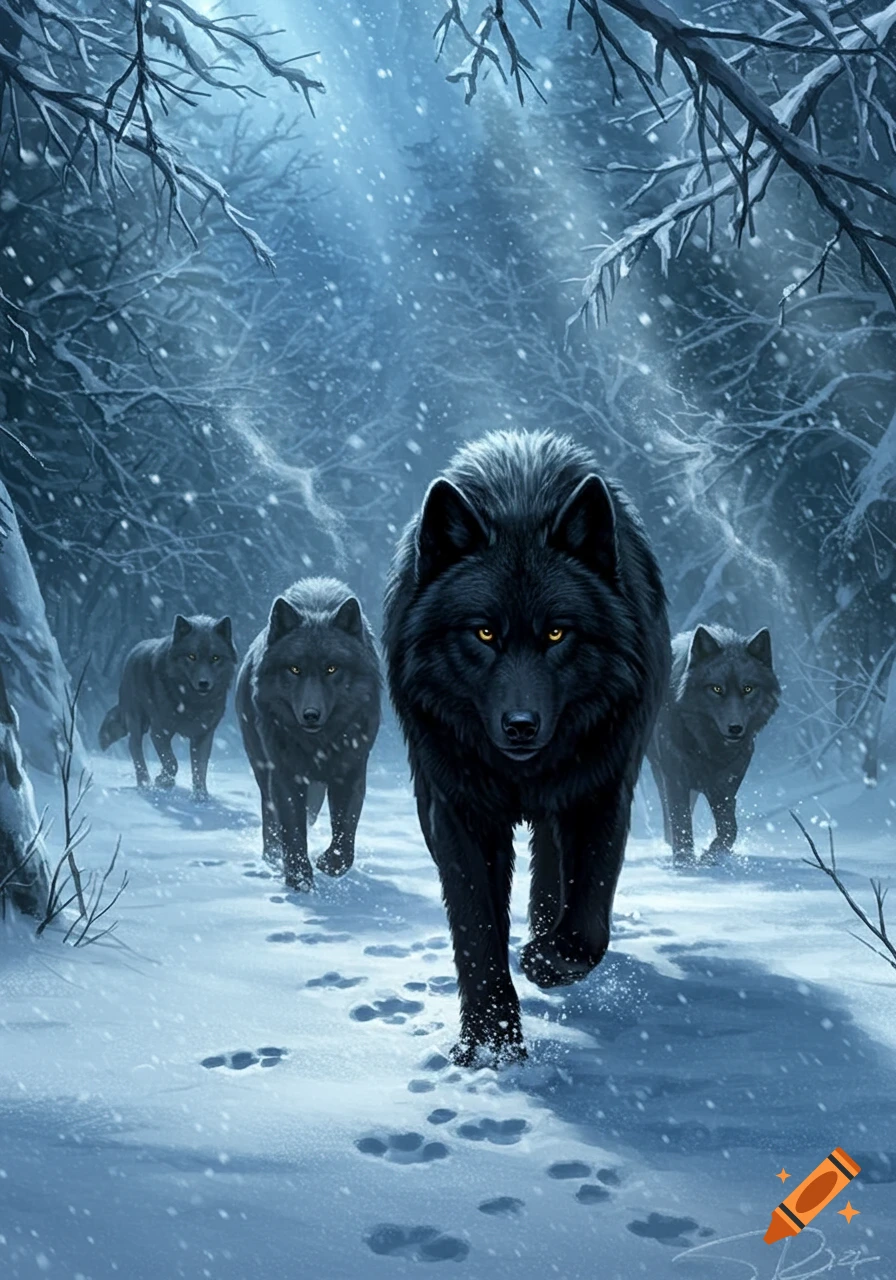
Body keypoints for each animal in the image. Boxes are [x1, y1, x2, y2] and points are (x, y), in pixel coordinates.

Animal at [99, 614, 237, 801]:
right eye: (191, 656)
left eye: (215, 658)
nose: (204, 683)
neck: (192, 704)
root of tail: (134, 650)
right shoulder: (159, 732)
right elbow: (172, 762)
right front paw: (163, 781)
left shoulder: (203, 735)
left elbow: (200, 769)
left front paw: (200, 796)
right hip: (137, 720)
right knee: (134, 746)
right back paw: (144, 784)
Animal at [235, 578, 381, 892]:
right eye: (294, 669)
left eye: (332, 668)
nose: (311, 714)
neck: (319, 745)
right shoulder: (285, 775)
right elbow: (292, 830)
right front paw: (299, 880)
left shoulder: (351, 771)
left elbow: (346, 829)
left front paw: (329, 864)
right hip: (261, 769)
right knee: (269, 817)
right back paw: (272, 858)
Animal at [383, 430, 670, 1066]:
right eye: (484, 632)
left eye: (558, 632)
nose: (520, 726)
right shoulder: (455, 809)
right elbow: (475, 929)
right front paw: (491, 1041)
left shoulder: (603, 790)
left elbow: (588, 917)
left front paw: (545, 960)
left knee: (556, 870)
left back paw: (541, 934)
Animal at [647, 625, 780, 866]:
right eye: (716, 689)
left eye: (748, 689)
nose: (735, 728)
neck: (708, 746)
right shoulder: (674, 776)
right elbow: (680, 820)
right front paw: (684, 862)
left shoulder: (726, 784)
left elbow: (730, 828)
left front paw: (712, 855)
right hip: (658, 771)